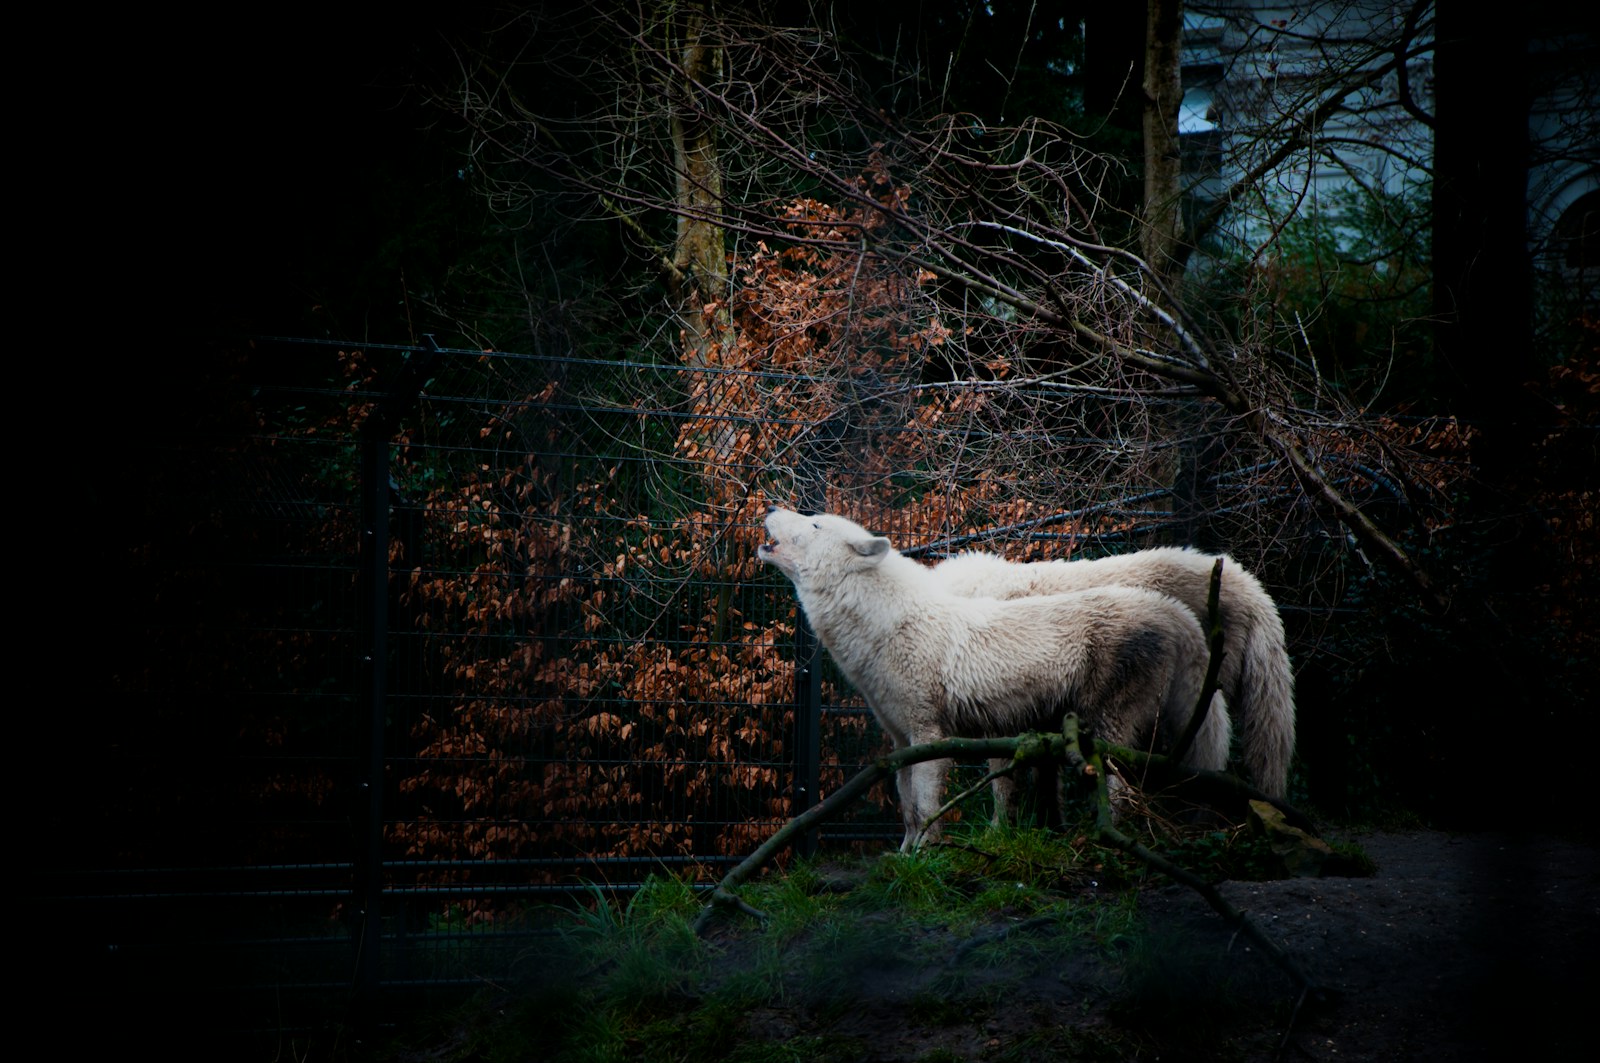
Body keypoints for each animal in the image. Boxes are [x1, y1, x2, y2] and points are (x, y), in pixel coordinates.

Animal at [758, 509, 1231, 850]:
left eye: (814, 522)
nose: (770, 508)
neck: (889, 625)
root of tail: (1172, 610)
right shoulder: (900, 741)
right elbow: (907, 809)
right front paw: (902, 856)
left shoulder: (930, 736)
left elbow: (926, 808)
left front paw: (926, 857)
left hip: (1104, 729)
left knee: (1119, 790)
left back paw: (1105, 840)